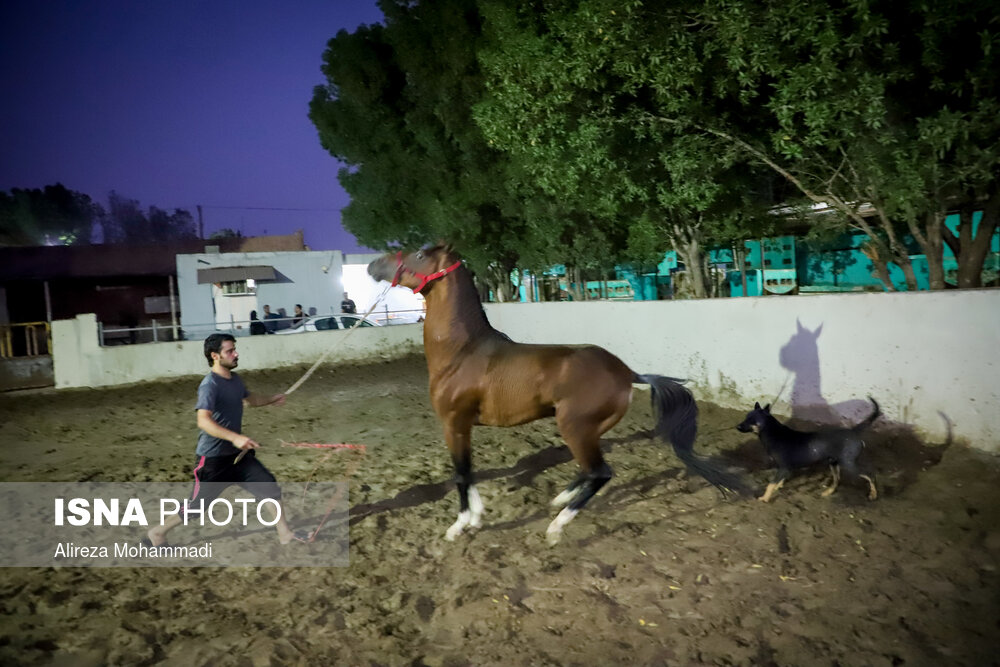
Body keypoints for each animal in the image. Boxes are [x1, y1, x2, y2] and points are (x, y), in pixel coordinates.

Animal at [368, 245, 744, 544]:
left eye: (420, 254)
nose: (373, 265)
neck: (463, 352)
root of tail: (628, 373)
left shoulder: (454, 422)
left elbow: (460, 474)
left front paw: (459, 527)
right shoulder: (463, 426)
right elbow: (469, 472)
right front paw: (476, 517)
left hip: (575, 427)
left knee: (600, 472)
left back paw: (556, 527)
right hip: (587, 429)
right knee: (589, 469)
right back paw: (560, 501)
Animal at [736, 400, 884, 504]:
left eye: (752, 421)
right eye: (746, 417)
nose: (737, 426)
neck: (771, 432)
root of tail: (853, 431)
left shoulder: (783, 467)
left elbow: (770, 484)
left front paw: (765, 498)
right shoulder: (785, 468)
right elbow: (779, 481)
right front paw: (778, 486)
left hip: (848, 464)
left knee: (870, 475)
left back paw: (873, 494)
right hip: (833, 463)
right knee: (837, 480)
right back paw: (828, 492)